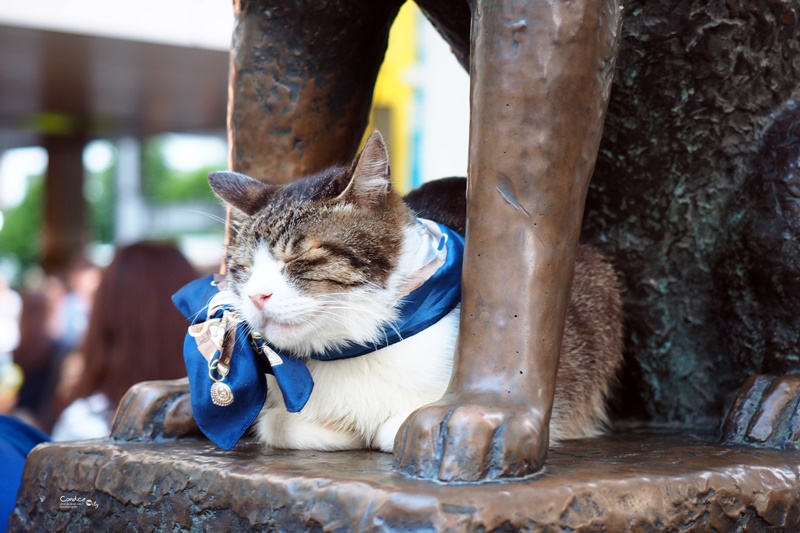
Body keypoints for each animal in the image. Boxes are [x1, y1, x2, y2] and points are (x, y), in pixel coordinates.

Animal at [209, 131, 620, 450]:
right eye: (243, 269)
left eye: (298, 257)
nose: (256, 296)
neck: (354, 348)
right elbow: (276, 424)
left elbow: (398, 428)